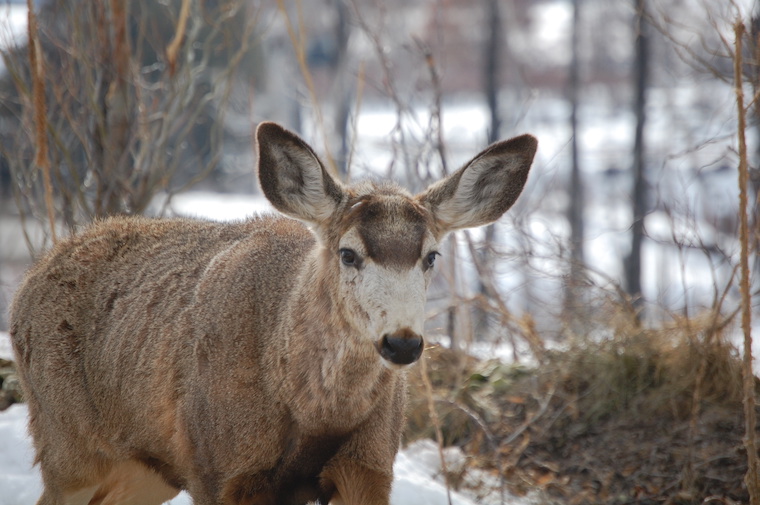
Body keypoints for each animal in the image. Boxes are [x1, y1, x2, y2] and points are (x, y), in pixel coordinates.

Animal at [9, 121, 537, 505]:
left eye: (431, 256)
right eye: (348, 253)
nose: (402, 341)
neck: (313, 412)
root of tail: (29, 282)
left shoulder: (369, 466)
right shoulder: (222, 468)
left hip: (144, 470)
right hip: (66, 444)